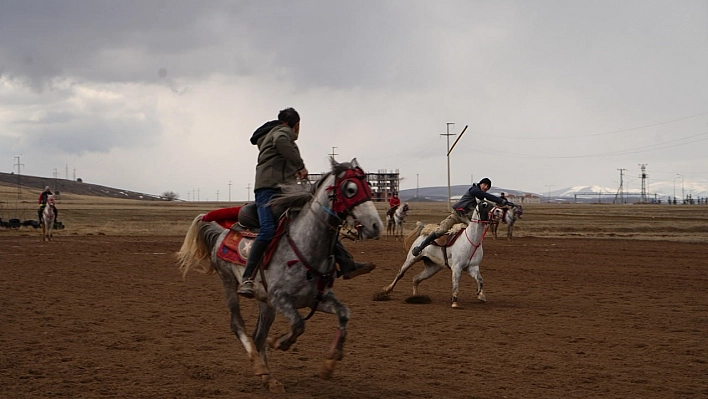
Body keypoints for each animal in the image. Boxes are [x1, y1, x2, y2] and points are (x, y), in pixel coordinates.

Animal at [176, 159, 382, 394]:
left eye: (369, 186)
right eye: (350, 189)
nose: (376, 225)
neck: (306, 246)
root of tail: (221, 233)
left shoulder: (316, 299)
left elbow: (344, 314)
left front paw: (330, 364)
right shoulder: (281, 299)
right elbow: (299, 324)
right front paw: (281, 343)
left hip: (265, 302)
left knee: (259, 335)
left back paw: (269, 378)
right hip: (229, 283)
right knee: (238, 325)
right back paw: (259, 366)